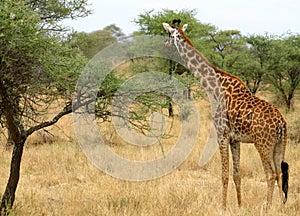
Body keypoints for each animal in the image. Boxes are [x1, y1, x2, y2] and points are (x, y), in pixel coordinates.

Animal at [163, 19, 290, 209]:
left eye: (169, 34)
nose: (165, 44)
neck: (213, 85)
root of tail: (281, 122)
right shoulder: (235, 139)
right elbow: (237, 174)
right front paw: (240, 205)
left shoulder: (221, 134)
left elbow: (224, 174)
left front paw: (222, 206)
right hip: (279, 144)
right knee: (280, 173)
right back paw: (281, 207)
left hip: (263, 144)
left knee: (271, 174)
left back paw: (267, 208)